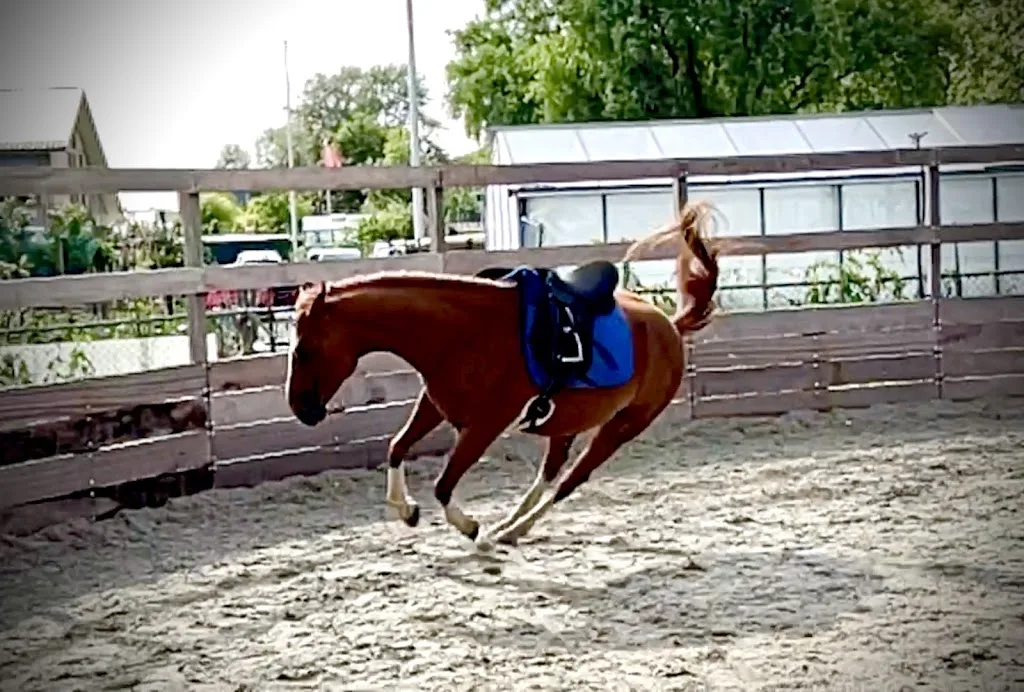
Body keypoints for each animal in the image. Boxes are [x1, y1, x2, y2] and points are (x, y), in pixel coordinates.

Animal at [285, 200, 722, 550]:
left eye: (305, 350)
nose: (301, 408)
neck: (463, 333)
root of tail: (670, 326)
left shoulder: (483, 427)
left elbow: (443, 485)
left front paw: (470, 527)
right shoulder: (436, 405)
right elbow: (396, 447)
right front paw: (406, 510)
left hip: (623, 426)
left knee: (570, 481)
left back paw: (512, 529)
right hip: (568, 422)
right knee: (550, 473)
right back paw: (510, 526)